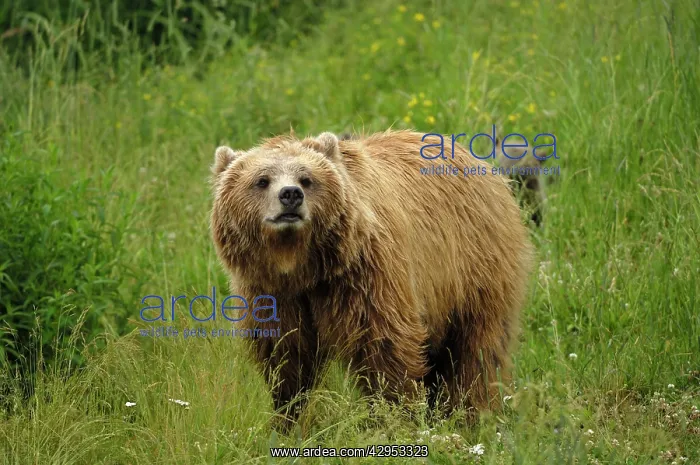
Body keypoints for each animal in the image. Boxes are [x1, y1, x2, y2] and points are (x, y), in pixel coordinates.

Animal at [210, 130, 534, 424]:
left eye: (307, 179)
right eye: (262, 180)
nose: (290, 195)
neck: (303, 267)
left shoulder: (366, 275)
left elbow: (383, 346)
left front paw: (393, 416)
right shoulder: (271, 292)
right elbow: (286, 355)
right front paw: (288, 416)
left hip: (473, 266)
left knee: (477, 351)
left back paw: (472, 413)